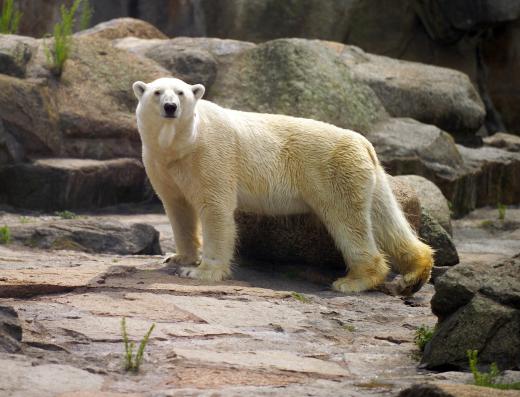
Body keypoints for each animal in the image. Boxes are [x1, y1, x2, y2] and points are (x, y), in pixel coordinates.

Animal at [132, 77, 432, 294]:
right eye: (157, 92)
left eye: (181, 93)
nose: (170, 107)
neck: (183, 144)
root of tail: (363, 142)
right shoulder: (161, 163)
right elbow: (178, 207)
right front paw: (178, 258)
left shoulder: (212, 154)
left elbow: (215, 208)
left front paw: (201, 271)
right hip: (370, 176)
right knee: (385, 218)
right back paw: (414, 274)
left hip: (333, 170)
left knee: (347, 219)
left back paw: (352, 281)